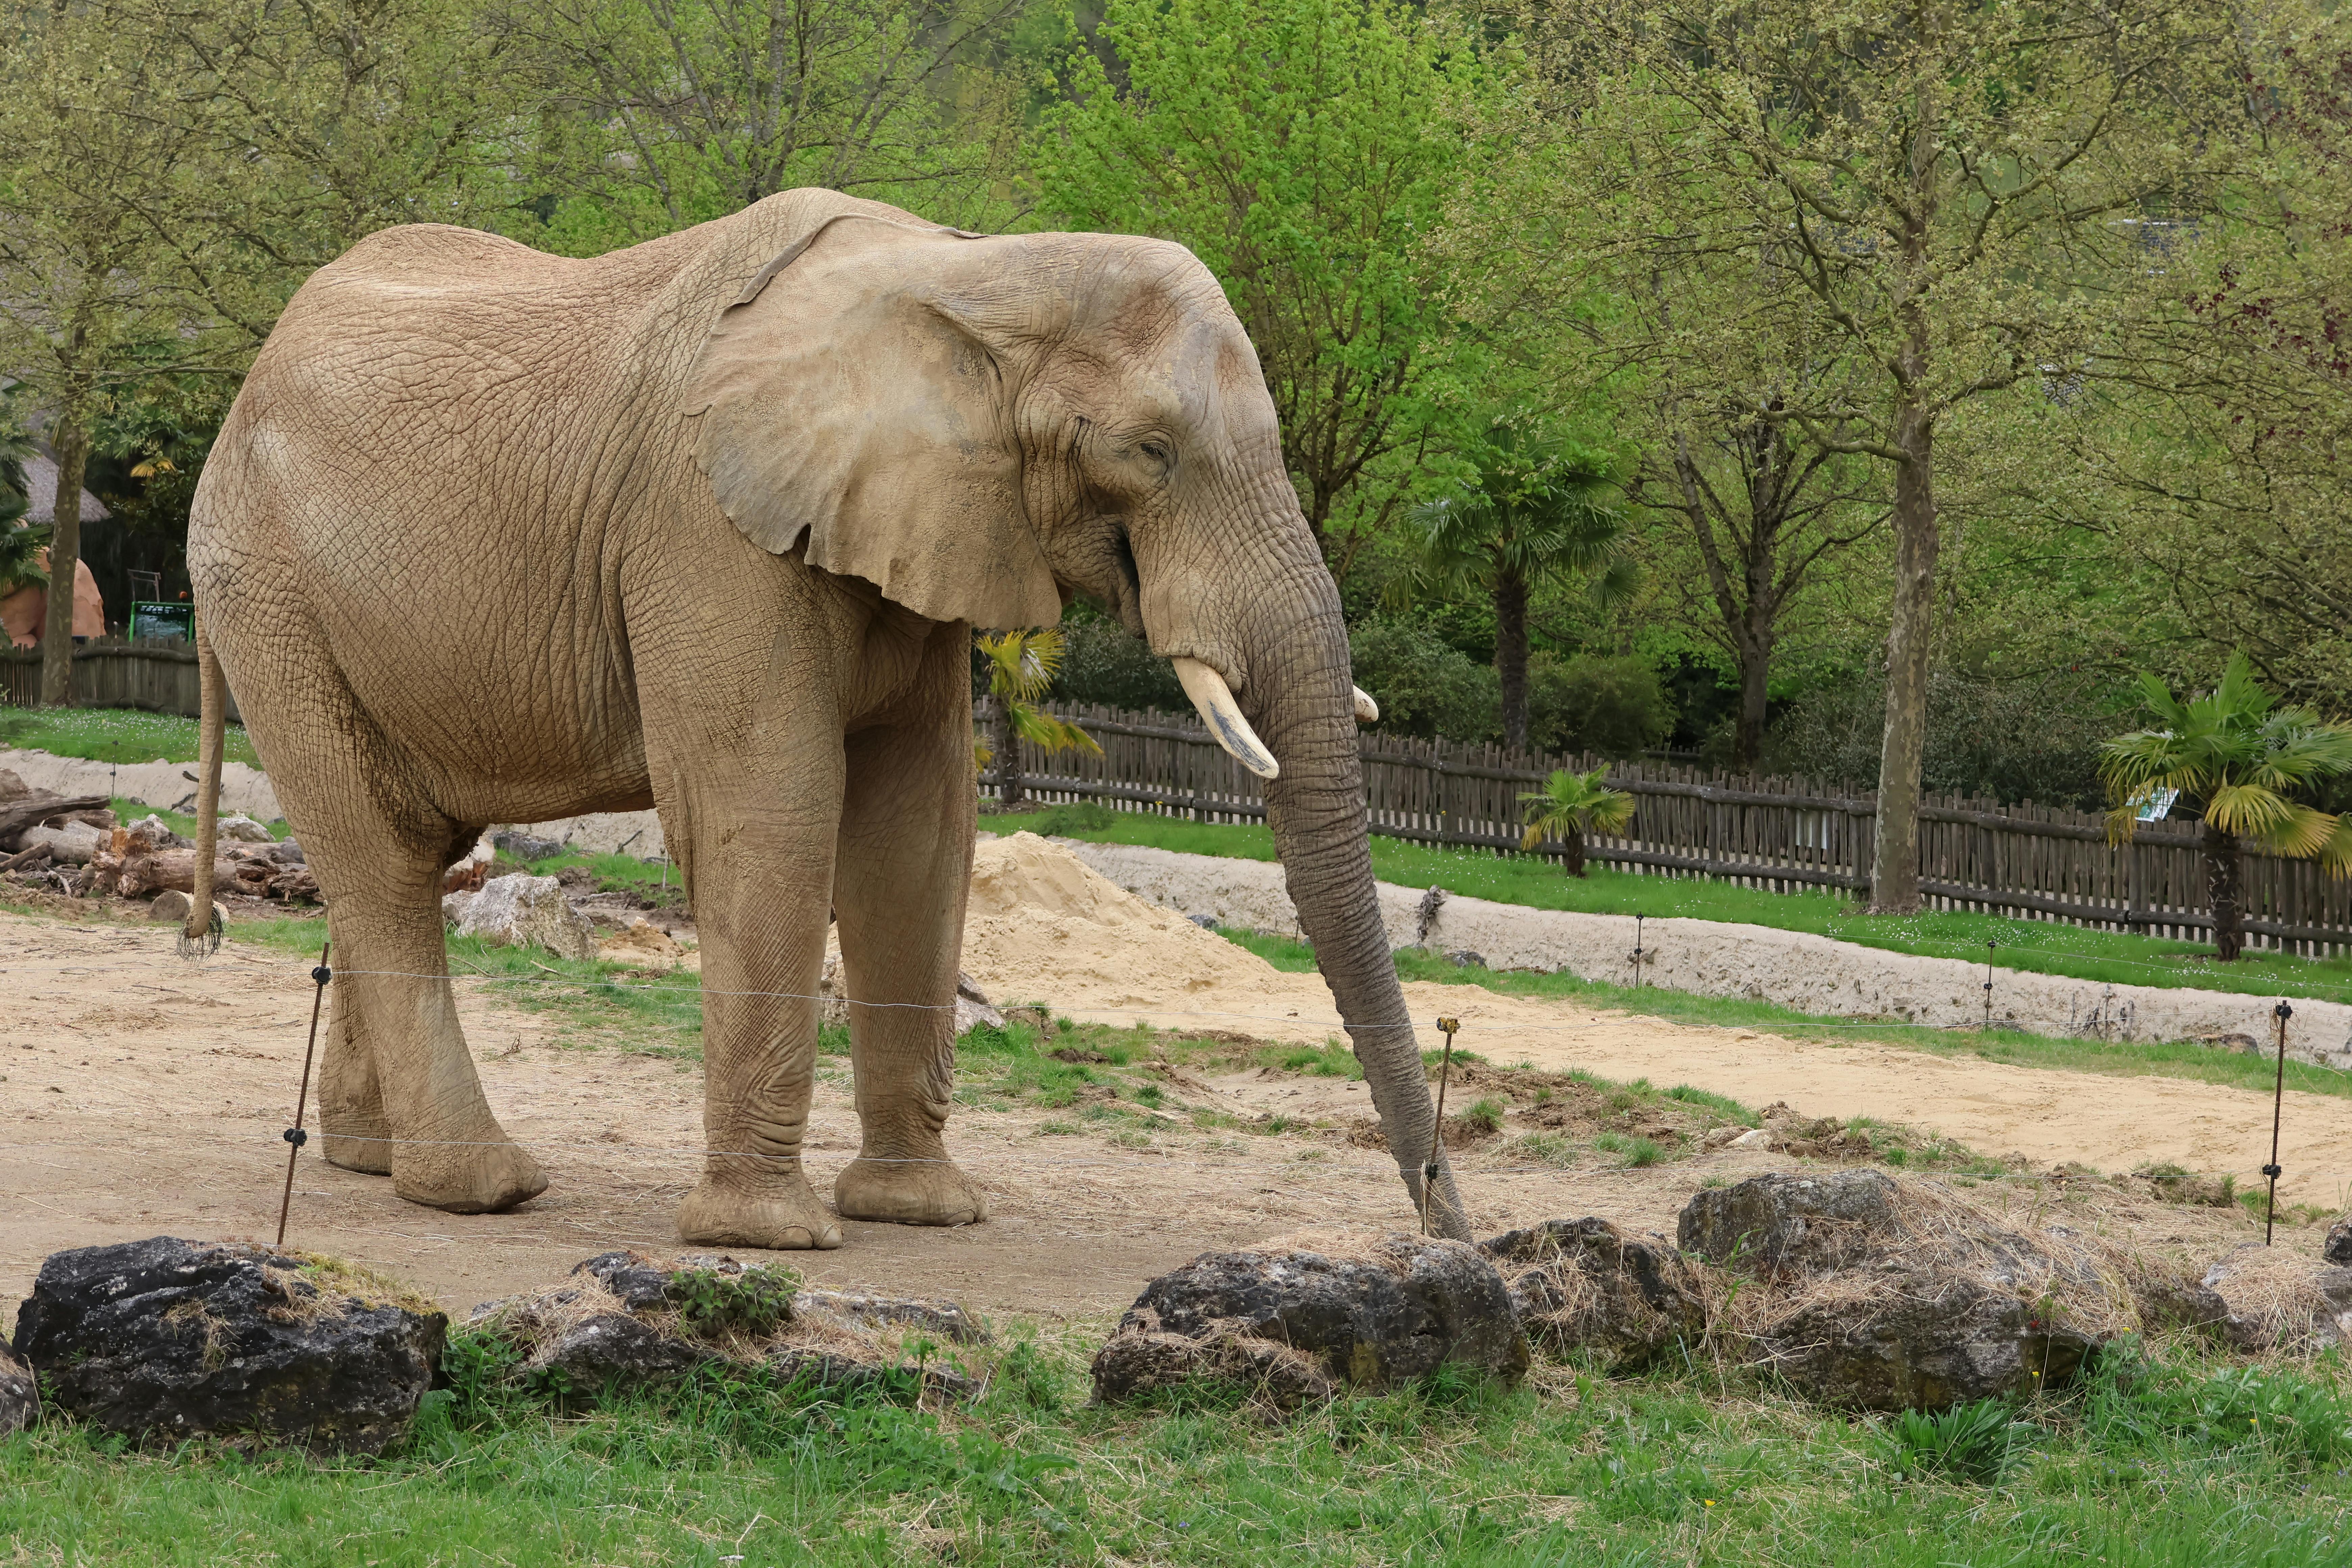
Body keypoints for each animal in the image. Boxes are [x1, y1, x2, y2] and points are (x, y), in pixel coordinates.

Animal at [182, 187, 1469, 1248]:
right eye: (1150, 452)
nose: (1450, 1235)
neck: (973, 267)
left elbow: (920, 830)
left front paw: (923, 1213)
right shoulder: (703, 524)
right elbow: (770, 809)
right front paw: (767, 1238)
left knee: (407, 846)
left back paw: (369, 1160)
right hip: (267, 593)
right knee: (385, 861)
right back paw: (484, 1188)